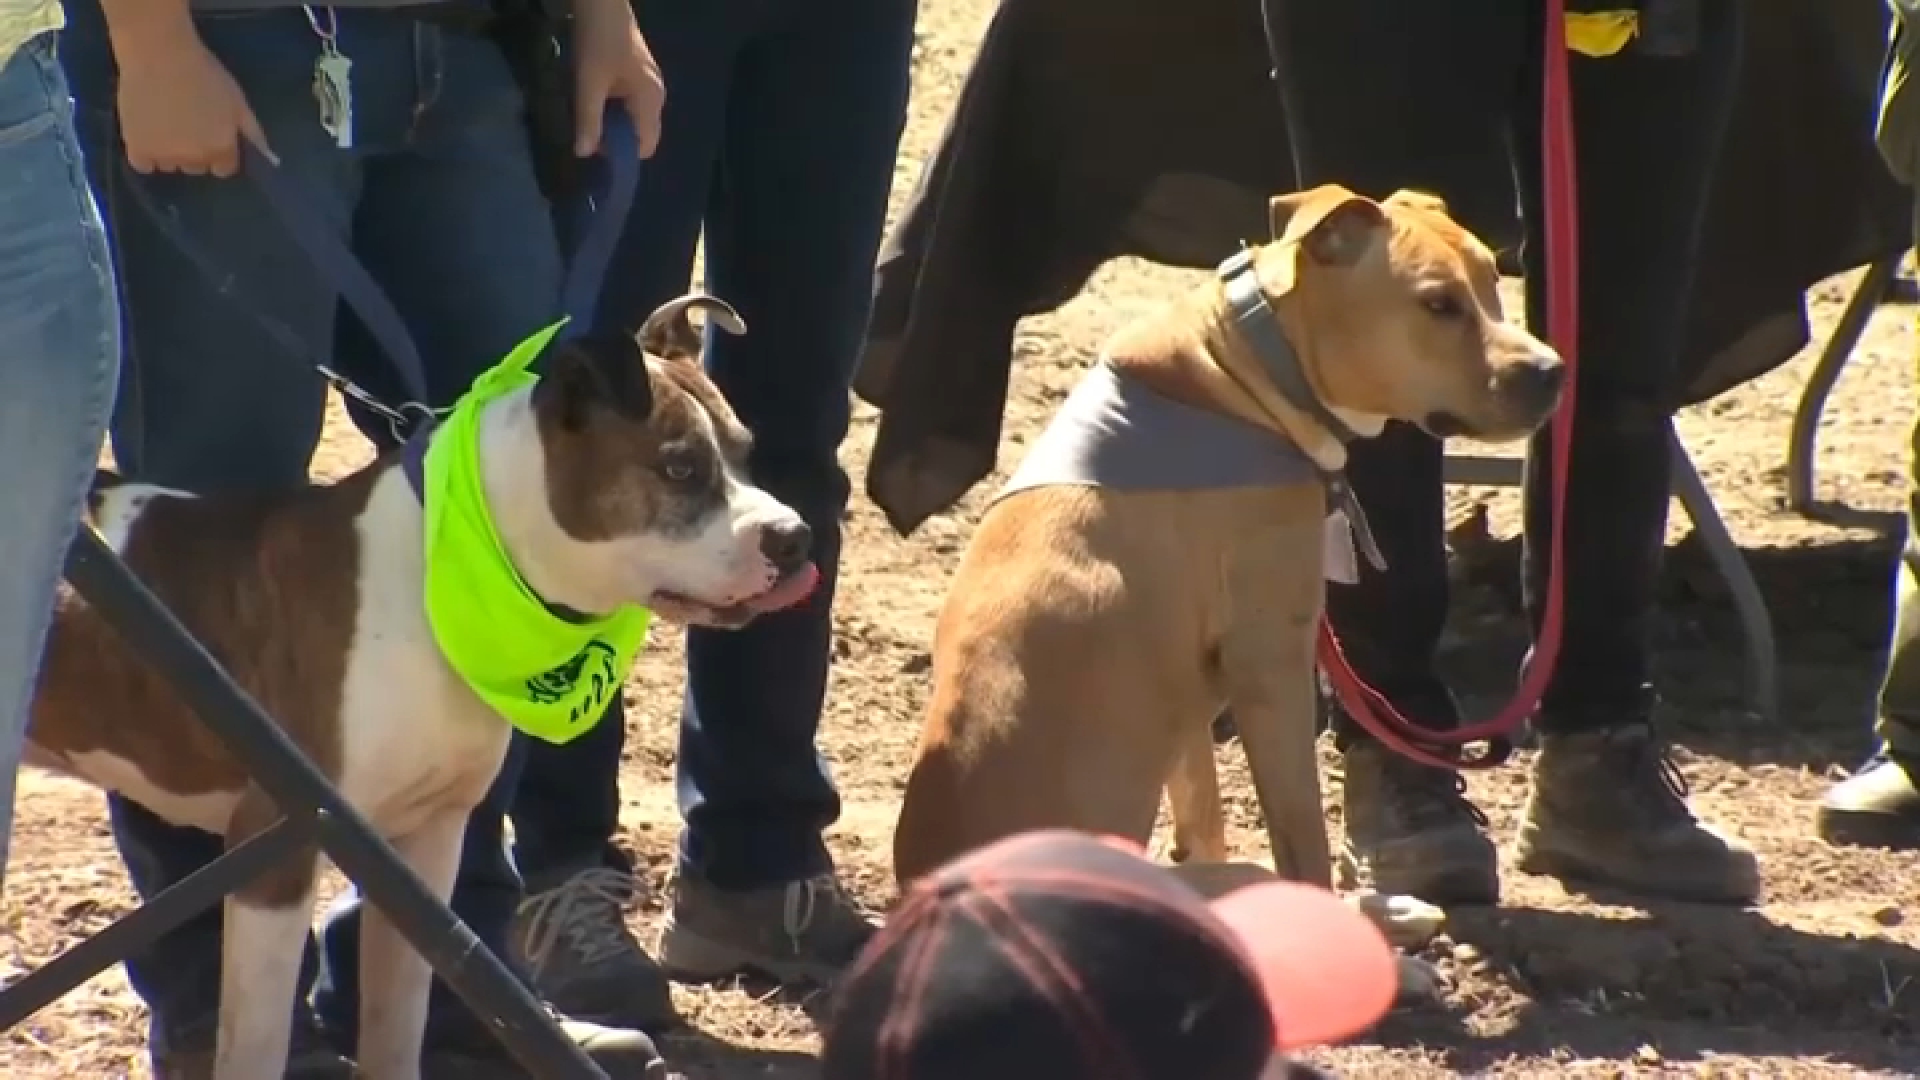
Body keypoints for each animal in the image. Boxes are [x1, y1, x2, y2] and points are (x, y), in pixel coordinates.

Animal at [26, 292, 814, 1076]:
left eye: (744, 452)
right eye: (679, 468)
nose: (795, 537)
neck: (465, 562)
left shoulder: (424, 848)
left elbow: (398, 1015)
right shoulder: (278, 846)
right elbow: (258, 1041)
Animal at [890, 187, 1566, 941]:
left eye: (1492, 280)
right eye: (1438, 304)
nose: (1552, 371)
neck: (1250, 368)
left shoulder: (1191, 697)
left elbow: (1203, 810)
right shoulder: (1272, 668)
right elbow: (1303, 843)